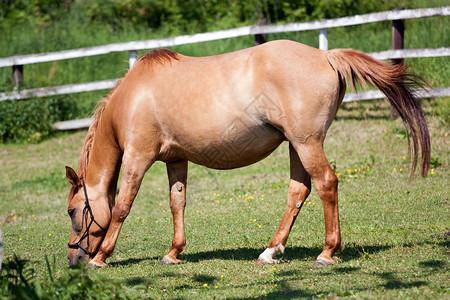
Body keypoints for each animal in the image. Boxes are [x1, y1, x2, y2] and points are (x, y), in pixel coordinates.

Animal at [64, 39, 428, 268]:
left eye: (72, 211)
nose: (73, 259)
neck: (132, 98)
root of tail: (326, 56)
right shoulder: (176, 160)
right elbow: (177, 202)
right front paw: (173, 252)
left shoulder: (138, 157)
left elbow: (122, 207)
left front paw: (101, 257)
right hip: (297, 146)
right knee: (299, 191)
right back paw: (270, 251)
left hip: (307, 143)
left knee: (326, 183)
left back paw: (326, 252)